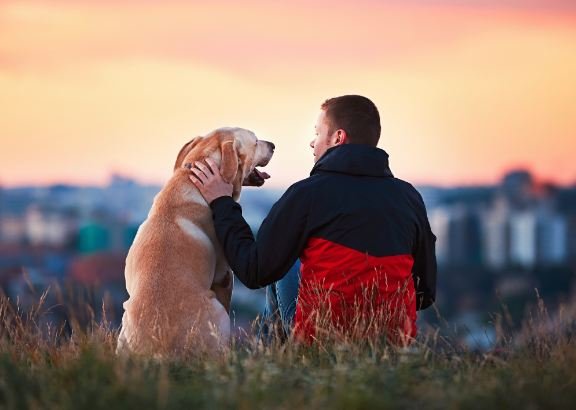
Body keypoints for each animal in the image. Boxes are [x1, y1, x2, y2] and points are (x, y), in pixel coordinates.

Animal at [116, 126, 274, 358]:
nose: (273, 145)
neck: (190, 181)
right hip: (217, 312)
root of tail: (158, 350)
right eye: (255, 142)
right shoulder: (224, 276)